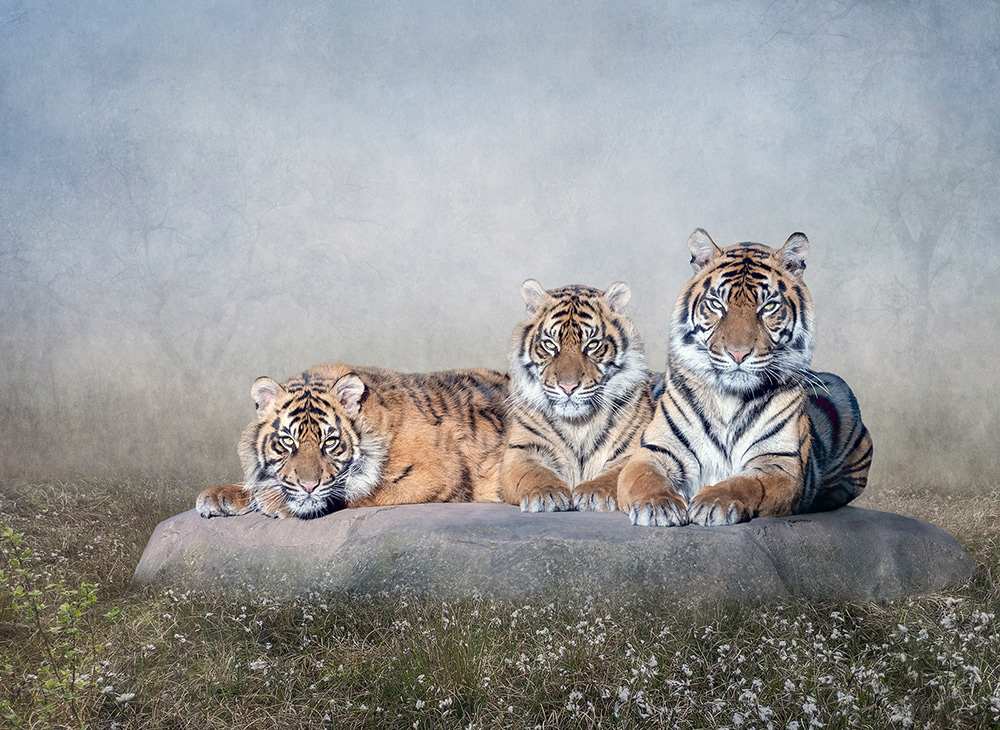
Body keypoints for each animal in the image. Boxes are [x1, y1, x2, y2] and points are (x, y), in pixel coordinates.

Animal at [196, 362, 508, 519]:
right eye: (288, 442)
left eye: (330, 442)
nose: (307, 485)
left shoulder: (436, 476)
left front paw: (275, 501)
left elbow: (356, 491)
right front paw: (218, 496)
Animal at [501, 279, 654, 513]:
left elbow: (616, 475)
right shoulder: (522, 451)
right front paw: (548, 494)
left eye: (592, 345)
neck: (578, 425)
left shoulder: (635, 450)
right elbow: (533, 473)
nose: (568, 387)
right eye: (550, 344)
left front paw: (593, 493)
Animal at [618, 229, 873, 527]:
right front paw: (658, 505)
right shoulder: (654, 452)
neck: (729, 400)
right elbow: (644, 477)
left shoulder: (779, 462)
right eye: (717, 304)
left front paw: (713, 501)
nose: (737, 353)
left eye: (768, 307)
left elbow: (746, 483)